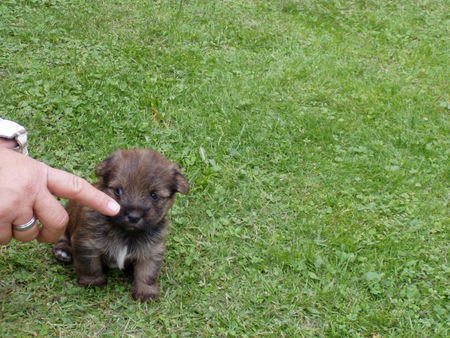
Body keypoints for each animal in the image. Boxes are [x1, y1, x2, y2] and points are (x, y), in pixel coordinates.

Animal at [52, 150, 188, 302]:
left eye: (154, 195)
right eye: (118, 191)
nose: (134, 217)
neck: (125, 232)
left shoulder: (151, 250)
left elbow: (147, 272)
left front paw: (146, 291)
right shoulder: (87, 243)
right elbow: (90, 266)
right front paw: (93, 282)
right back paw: (63, 251)